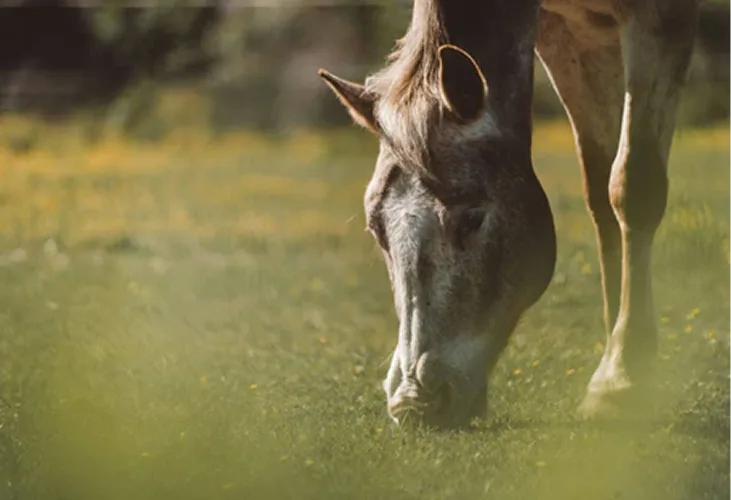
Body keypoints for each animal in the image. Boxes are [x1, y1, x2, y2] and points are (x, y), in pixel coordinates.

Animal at [318, 0, 700, 429]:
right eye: (376, 229)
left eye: (472, 219)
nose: (413, 403)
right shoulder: (569, 33)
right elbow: (602, 191)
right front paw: (621, 360)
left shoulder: (659, 17)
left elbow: (632, 187)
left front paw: (621, 378)